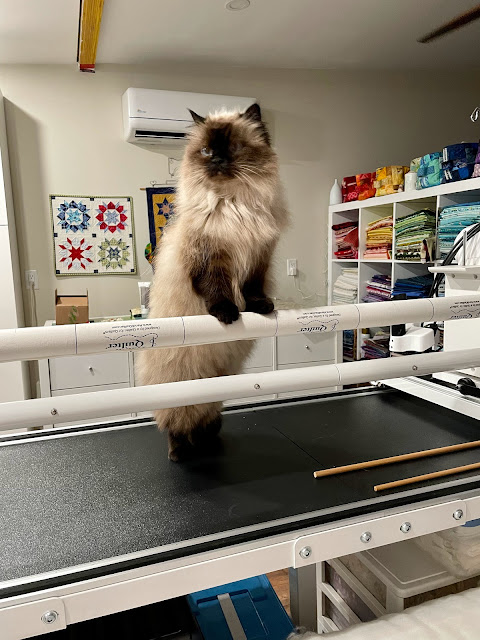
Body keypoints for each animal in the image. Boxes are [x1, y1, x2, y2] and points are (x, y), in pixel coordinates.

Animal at [136, 103, 289, 461]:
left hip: (214, 393)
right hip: (182, 393)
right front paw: (227, 315)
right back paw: (182, 454)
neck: (235, 204)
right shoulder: (211, 259)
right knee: (177, 425)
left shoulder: (258, 259)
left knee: (205, 421)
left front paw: (261, 309)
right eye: (206, 151)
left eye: (231, 148)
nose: (217, 160)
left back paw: (208, 444)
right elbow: (218, 292)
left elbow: (253, 291)